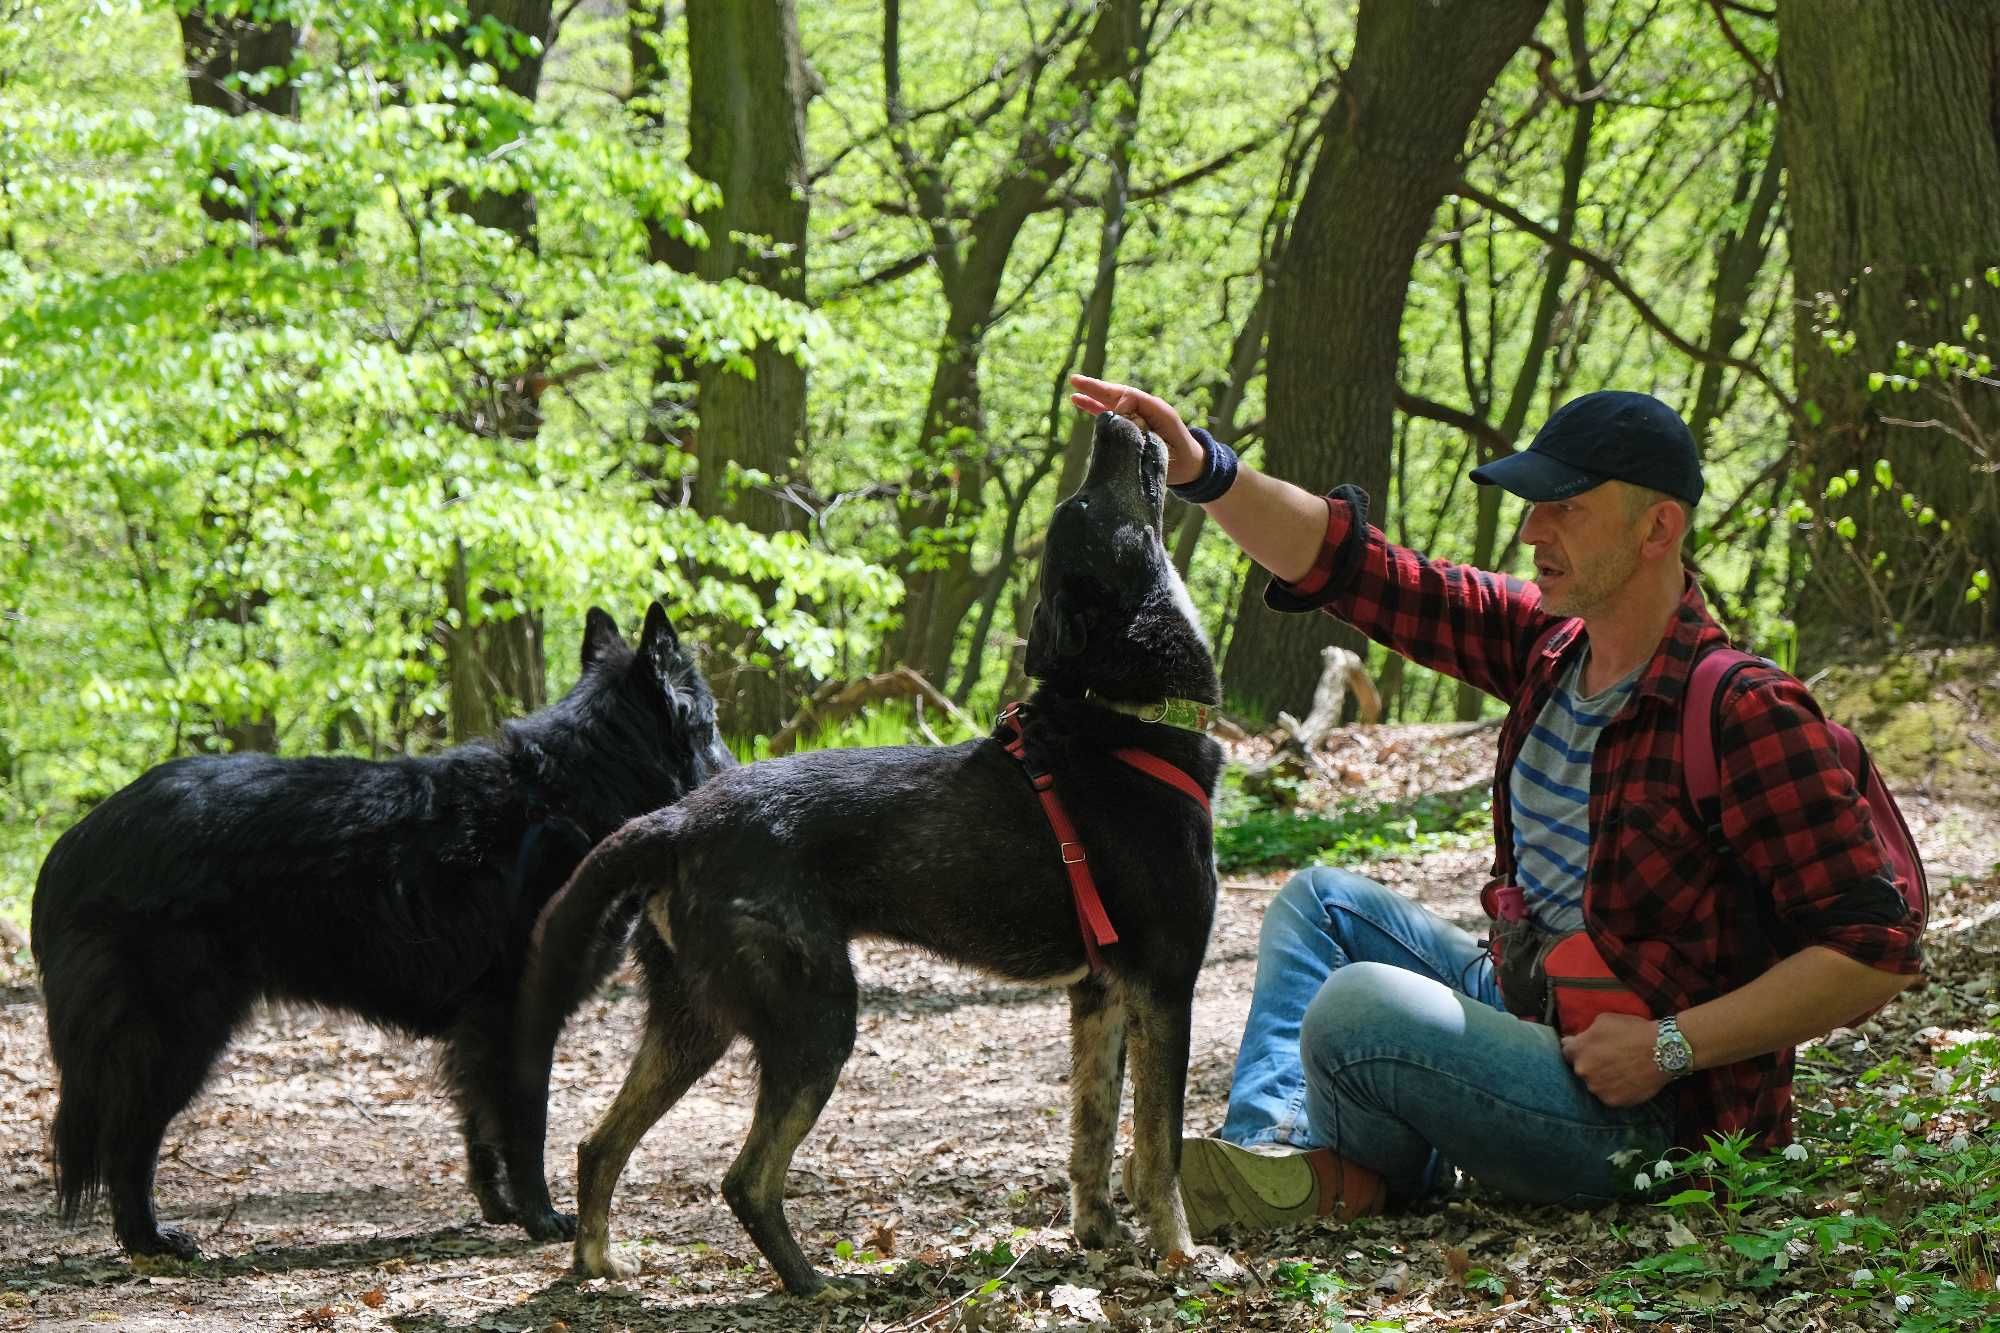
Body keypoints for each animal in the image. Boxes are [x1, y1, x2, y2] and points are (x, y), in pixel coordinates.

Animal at [33, 600, 728, 1256]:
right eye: (715, 724)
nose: (734, 769)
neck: (569, 795)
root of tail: (76, 844)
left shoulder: (477, 1032)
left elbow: (479, 1125)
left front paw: (497, 1208)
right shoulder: (522, 1014)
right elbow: (526, 1125)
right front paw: (540, 1217)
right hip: (179, 1034)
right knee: (129, 1139)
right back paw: (149, 1238)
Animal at [500, 412, 1224, 1288]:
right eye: (1086, 504)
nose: (1112, 418)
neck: (1123, 717)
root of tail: (675, 821)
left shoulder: (1098, 997)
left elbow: (1092, 1134)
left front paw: (1099, 1235)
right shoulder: (1165, 985)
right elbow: (1157, 1150)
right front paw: (1182, 1255)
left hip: (693, 1022)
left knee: (596, 1142)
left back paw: (599, 1262)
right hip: (816, 1016)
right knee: (744, 1177)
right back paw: (813, 1282)